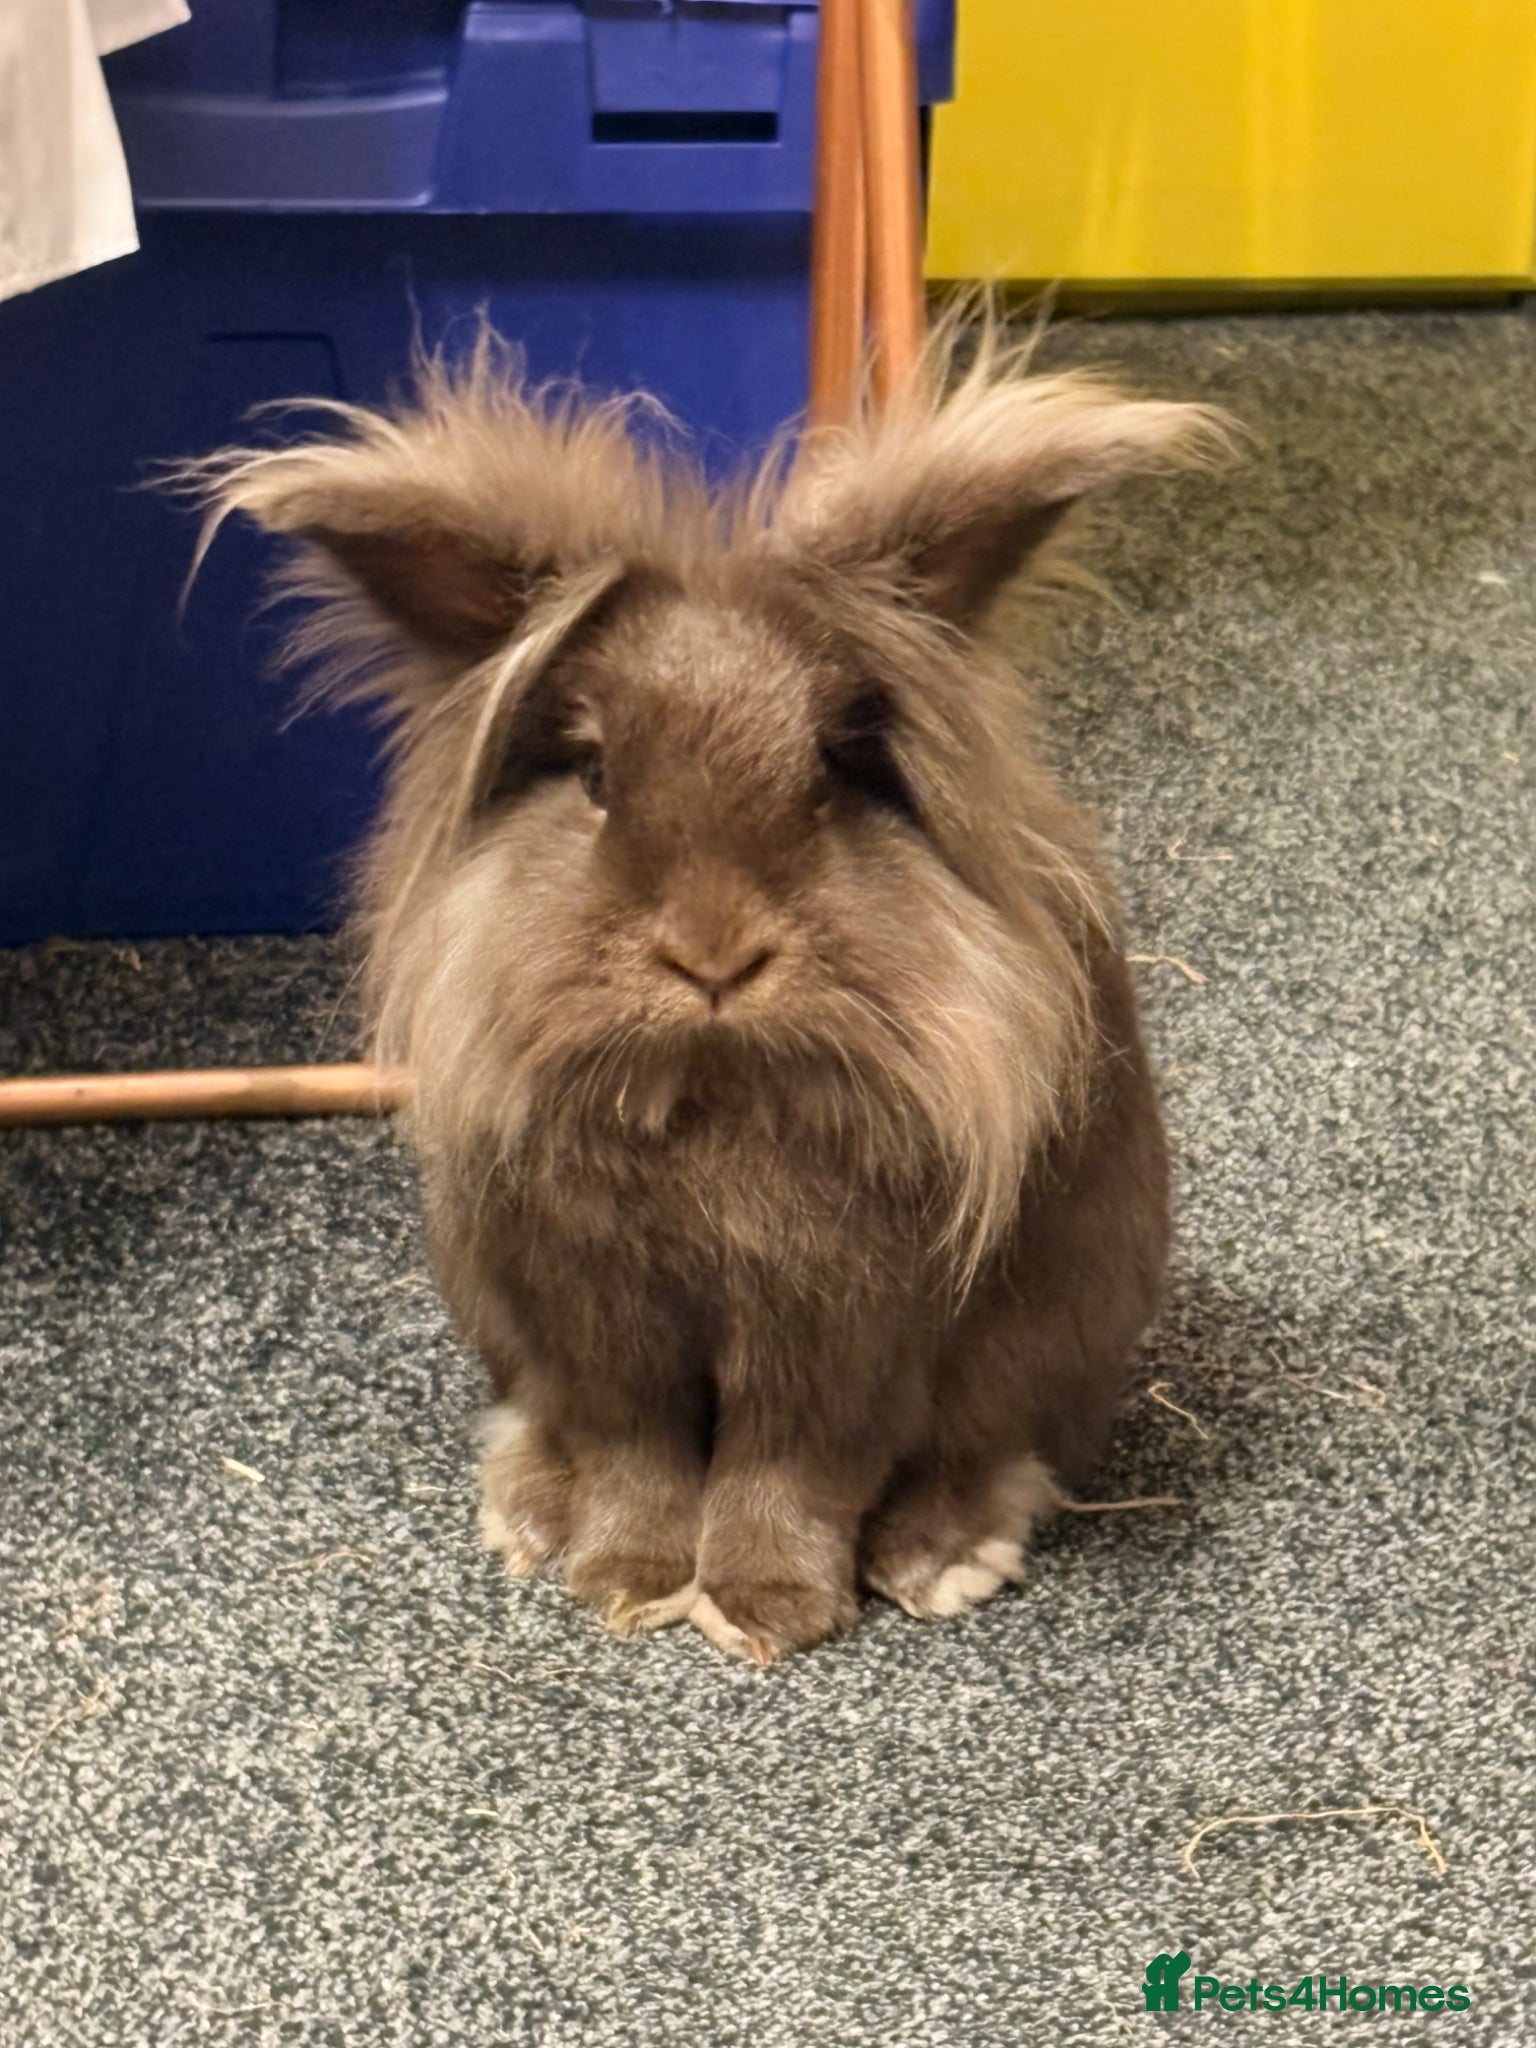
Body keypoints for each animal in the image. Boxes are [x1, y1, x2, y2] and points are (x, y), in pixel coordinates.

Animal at [182, 322, 1228, 1663]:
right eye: (592, 773)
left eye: (837, 771)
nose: (715, 955)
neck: (715, 1084)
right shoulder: (597, 1317)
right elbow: (636, 1450)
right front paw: (625, 1580)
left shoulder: (842, 1327)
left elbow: (796, 1465)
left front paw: (762, 1608)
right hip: (494, 1308)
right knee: (542, 1418)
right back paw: (531, 1515)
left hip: (1066, 1316)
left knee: (1001, 1446)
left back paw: (943, 1554)